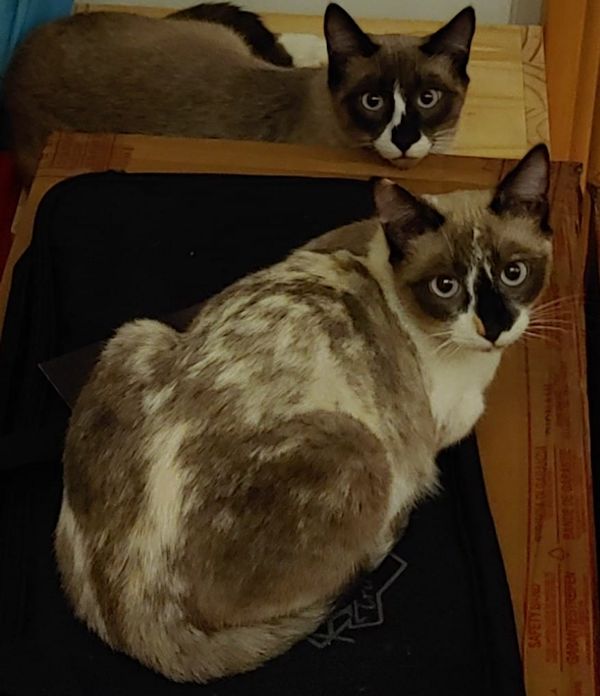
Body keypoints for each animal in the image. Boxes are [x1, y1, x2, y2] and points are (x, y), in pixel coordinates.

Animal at [56, 144, 551, 683]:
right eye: (446, 287)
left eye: (515, 273)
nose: (494, 327)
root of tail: (131, 615)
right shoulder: (438, 430)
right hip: (358, 449)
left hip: (136, 334)